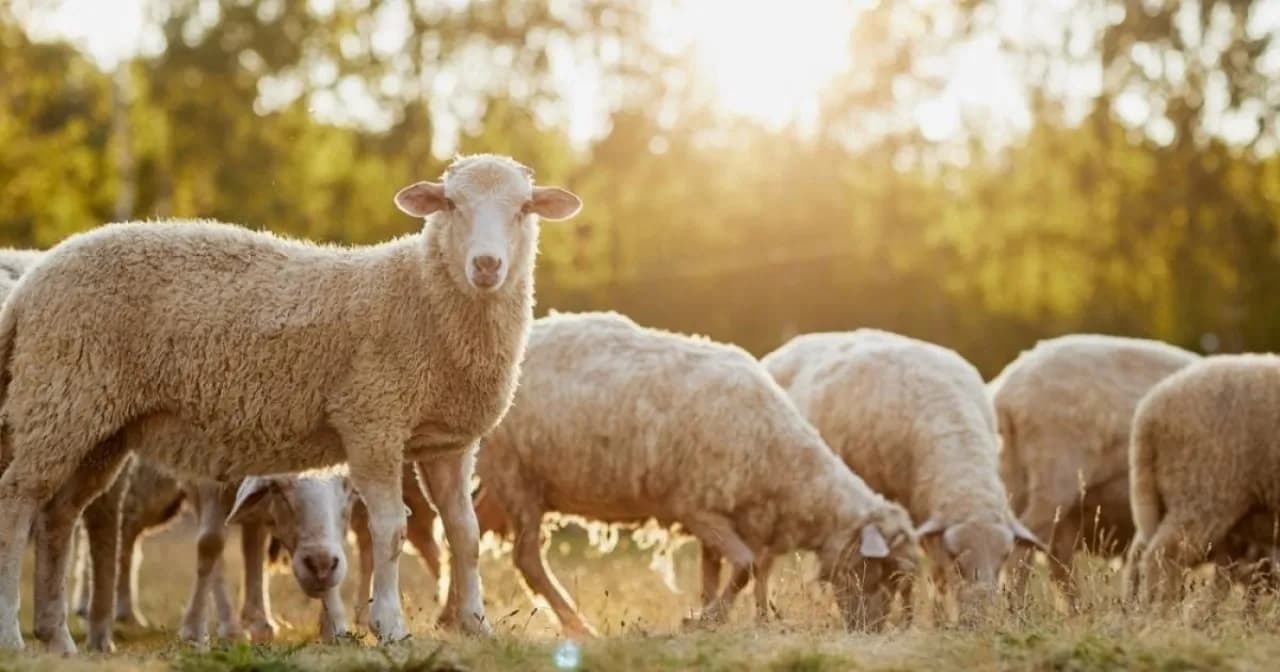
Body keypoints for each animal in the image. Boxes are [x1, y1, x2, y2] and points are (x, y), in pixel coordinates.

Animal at [0, 153, 583, 653]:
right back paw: (13, 635)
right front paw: (390, 626)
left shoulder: (450, 442)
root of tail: (30, 286)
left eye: (524, 208)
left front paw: (476, 624)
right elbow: (390, 529)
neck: (421, 296)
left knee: (58, 516)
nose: (486, 265)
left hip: (97, 425)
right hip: (60, 396)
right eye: (451, 204)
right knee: (18, 500)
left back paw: (58, 637)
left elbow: (465, 533)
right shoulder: (372, 419)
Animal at [475, 311, 919, 637]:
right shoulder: (698, 507)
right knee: (527, 559)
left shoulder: (721, 514)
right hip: (517, 475)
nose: (871, 630)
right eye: (881, 573)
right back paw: (577, 625)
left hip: (502, 483)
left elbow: (715, 573)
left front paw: (713, 615)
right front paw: (708, 618)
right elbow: (746, 567)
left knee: (471, 534)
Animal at [988, 334, 1201, 604]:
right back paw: (1017, 606)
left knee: (1052, 557)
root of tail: (1007, 394)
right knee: (1025, 547)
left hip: (1015, 479)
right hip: (1054, 477)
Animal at [1127, 354, 1280, 610]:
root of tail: (1148, 412)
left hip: (1162, 495)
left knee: (1139, 554)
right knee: (1163, 555)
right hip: (1202, 489)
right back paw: (1163, 611)